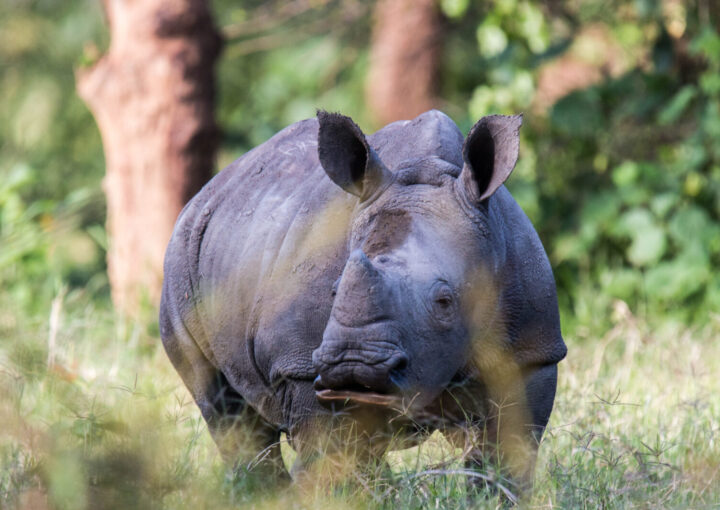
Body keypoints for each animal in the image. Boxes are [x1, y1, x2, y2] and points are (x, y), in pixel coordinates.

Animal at [159, 110, 567, 493]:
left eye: (444, 300)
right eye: (334, 290)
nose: (355, 364)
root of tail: (212, 188)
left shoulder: (531, 354)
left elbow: (505, 458)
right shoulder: (300, 364)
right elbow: (330, 455)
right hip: (181, 257)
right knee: (226, 412)